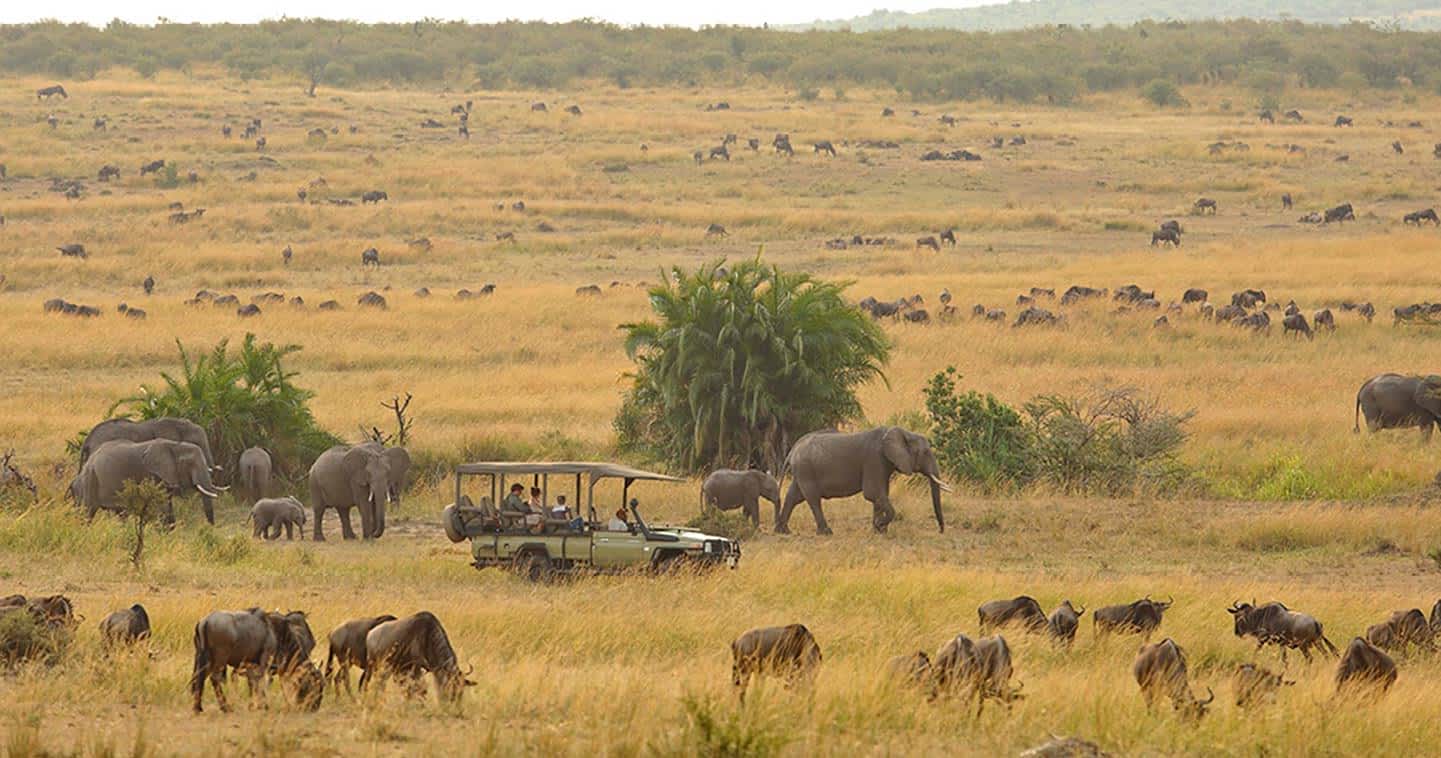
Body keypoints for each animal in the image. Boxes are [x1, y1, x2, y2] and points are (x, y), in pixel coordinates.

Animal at [78, 443, 223, 527]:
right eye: (190, 464)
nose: (210, 528)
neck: (175, 446)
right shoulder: (153, 475)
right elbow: (162, 505)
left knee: (121, 513)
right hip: (91, 478)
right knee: (88, 512)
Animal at [778, 426, 945, 536]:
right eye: (925, 452)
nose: (941, 531)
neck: (903, 432)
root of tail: (793, 449)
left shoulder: (883, 464)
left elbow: (880, 495)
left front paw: (879, 532)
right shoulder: (874, 459)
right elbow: (873, 493)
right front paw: (879, 526)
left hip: (802, 471)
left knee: (794, 497)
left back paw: (783, 531)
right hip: (807, 470)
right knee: (813, 499)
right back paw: (826, 532)